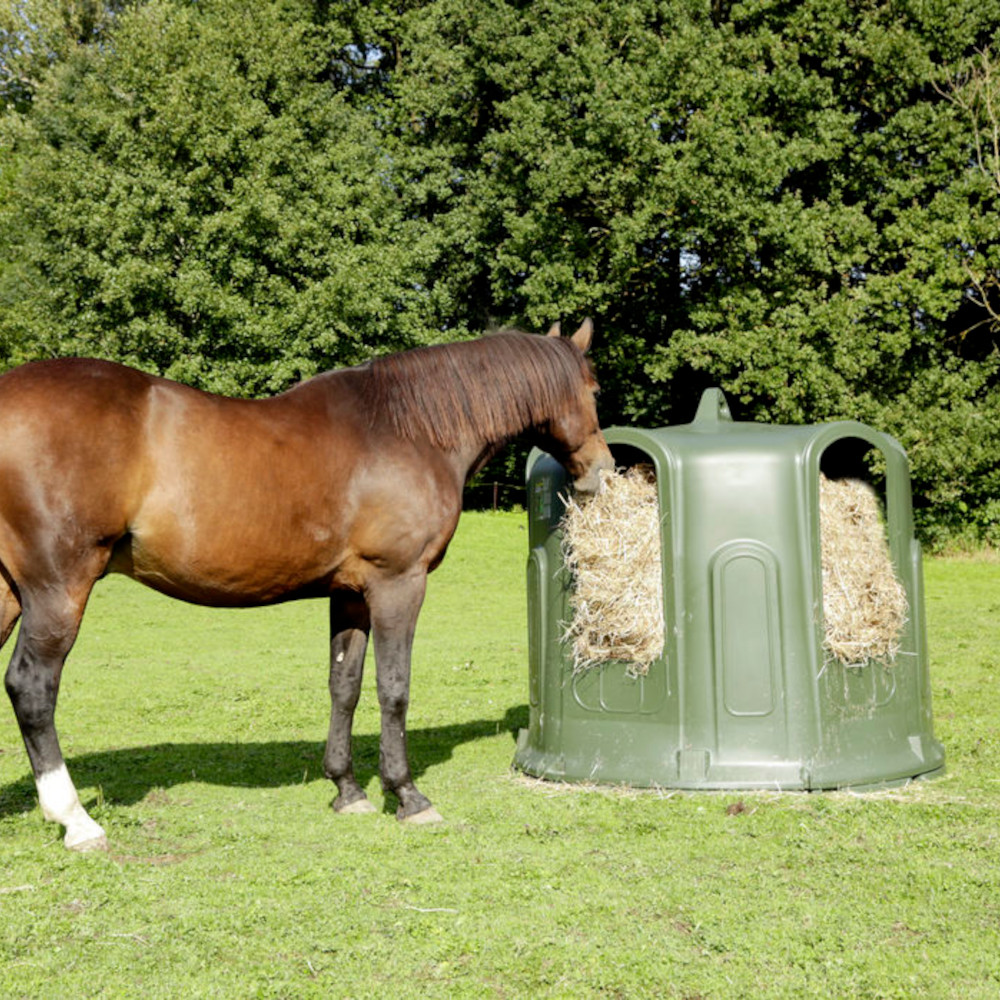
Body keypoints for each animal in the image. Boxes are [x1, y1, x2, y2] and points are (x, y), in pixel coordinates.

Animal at [0, 322, 608, 852]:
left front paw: (347, 790)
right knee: (32, 687)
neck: (408, 429)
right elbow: (394, 687)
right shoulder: (398, 584)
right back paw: (77, 821)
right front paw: (407, 796)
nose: (600, 472)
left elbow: (345, 685)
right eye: (594, 389)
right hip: (59, 589)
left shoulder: (350, 593)